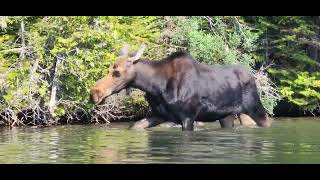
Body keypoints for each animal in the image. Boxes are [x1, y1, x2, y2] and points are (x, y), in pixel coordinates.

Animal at [89, 43, 270, 131]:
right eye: (110, 69)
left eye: (117, 72)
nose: (94, 93)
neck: (155, 86)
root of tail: (253, 77)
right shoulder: (159, 114)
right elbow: (134, 126)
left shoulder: (188, 116)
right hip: (227, 116)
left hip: (255, 108)